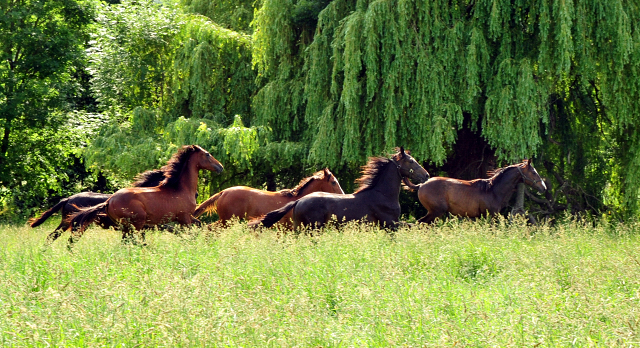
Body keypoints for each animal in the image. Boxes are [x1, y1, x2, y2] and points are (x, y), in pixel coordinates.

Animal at [66, 145, 224, 249]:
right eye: (207, 154)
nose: (220, 167)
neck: (180, 189)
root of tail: (109, 201)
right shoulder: (184, 218)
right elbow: (190, 234)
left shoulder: (185, 218)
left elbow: (198, 226)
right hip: (136, 224)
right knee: (131, 241)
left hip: (127, 227)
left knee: (126, 242)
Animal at [250, 148, 430, 230]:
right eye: (411, 161)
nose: (426, 175)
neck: (382, 195)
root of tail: (299, 200)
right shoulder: (391, 224)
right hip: (312, 229)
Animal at [404, 160, 552, 223]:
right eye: (534, 172)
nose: (543, 187)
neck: (492, 190)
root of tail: (421, 185)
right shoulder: (491, 215)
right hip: (436, 211)